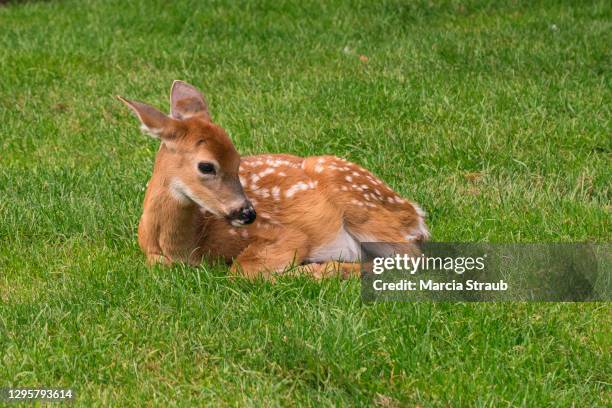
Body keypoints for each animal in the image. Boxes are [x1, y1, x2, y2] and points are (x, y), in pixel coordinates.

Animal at [117, 81, 428, 278]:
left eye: (238, 160)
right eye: (206, 166)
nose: (248, 213)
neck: (186, 246)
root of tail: (415, 213)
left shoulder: (285, 234)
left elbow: (241, 269)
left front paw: (309, 269)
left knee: (411, 258)